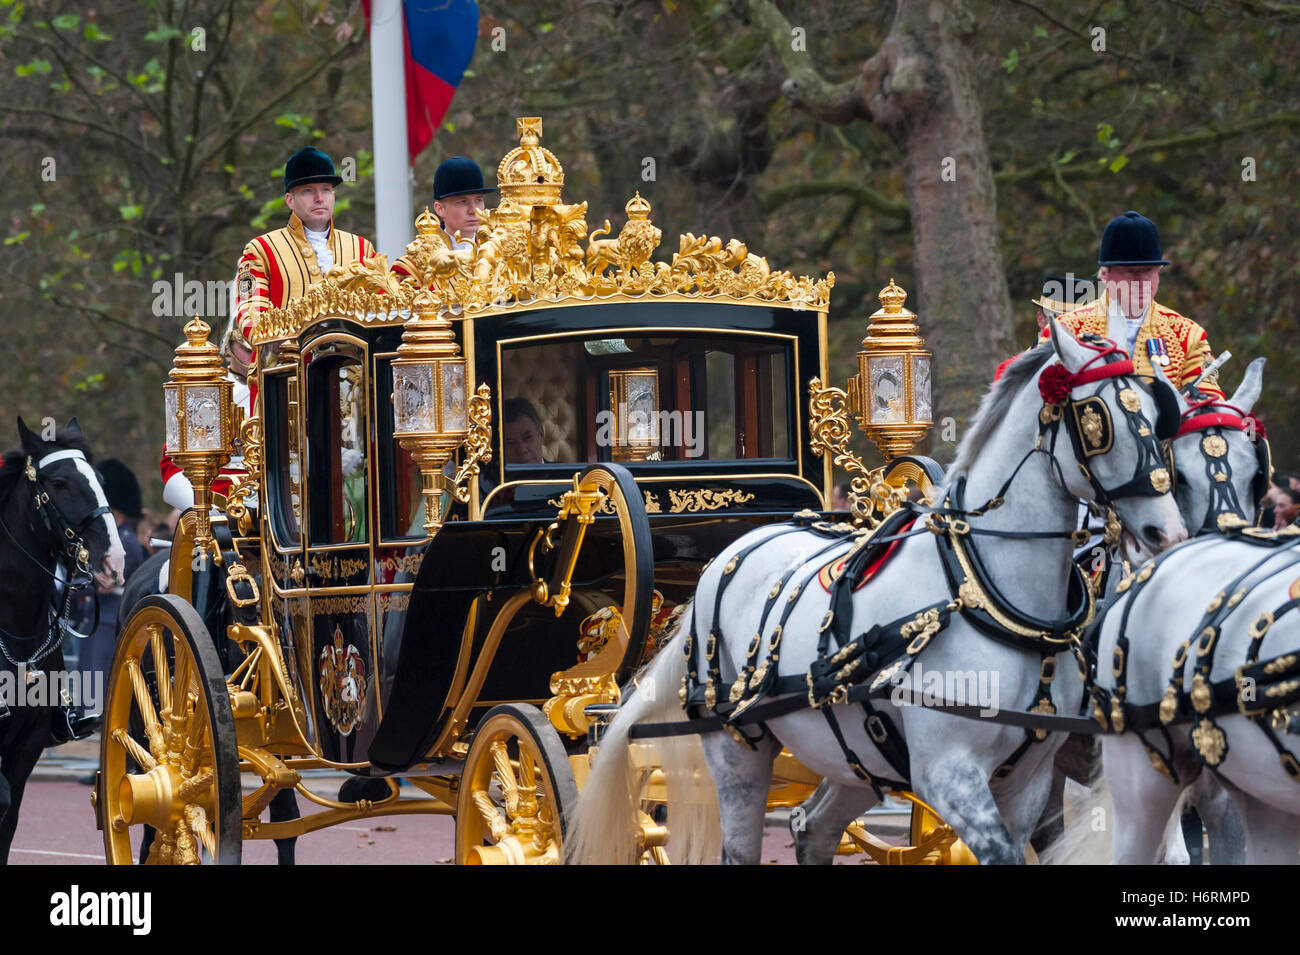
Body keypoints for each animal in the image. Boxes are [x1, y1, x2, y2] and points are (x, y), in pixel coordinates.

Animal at [572, 323, 1190, 867]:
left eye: (1160, 416)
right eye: (1097, 419)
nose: (1167, 533)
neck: (984, 595)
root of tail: (734, 550)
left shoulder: (1030, 780)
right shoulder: (950, 774)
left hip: (853, 753)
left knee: (812, 828)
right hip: (736, 749)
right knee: (743, 847)